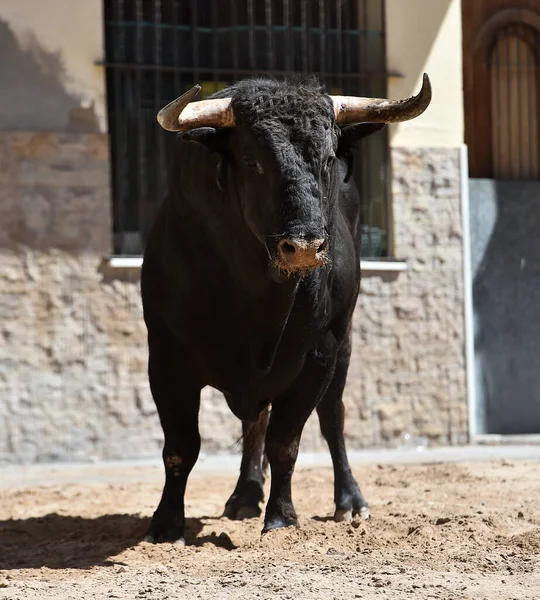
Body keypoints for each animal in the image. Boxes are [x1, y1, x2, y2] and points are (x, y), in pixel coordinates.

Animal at [140, 76, 430, 544]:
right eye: (251, 161)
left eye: (328, 159)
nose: (306, 245)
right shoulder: (166, 356)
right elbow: (181, 447)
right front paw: (166, 525)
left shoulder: (319, 354)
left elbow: (286, 442)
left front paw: (281, 517)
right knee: (253, 423)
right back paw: (244, 496)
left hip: (344, 347)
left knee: (331, 418)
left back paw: (350, 501)